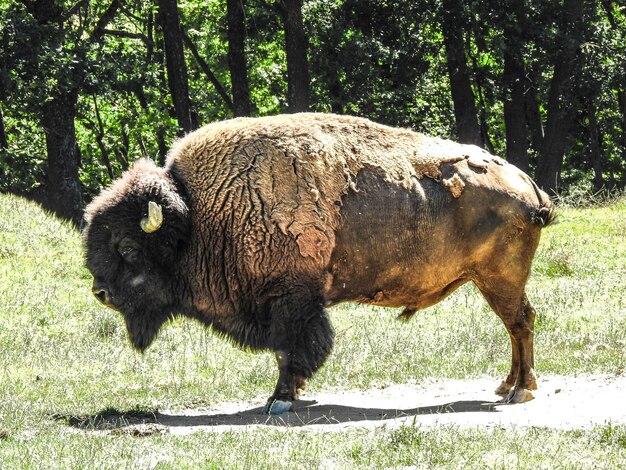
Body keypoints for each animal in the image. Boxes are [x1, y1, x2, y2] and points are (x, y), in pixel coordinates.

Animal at [81, 112, 552, 414]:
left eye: (127, 246)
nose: (100, 292)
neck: (199, 216)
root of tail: (527, 184)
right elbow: (285, 351)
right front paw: (288, 395)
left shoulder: (291, 301)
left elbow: (291, 349)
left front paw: (280, 400)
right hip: (489, 280)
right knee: (517, 324)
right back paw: (506, 386)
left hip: (500, 279)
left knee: (520, 322)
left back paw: (520, 392)